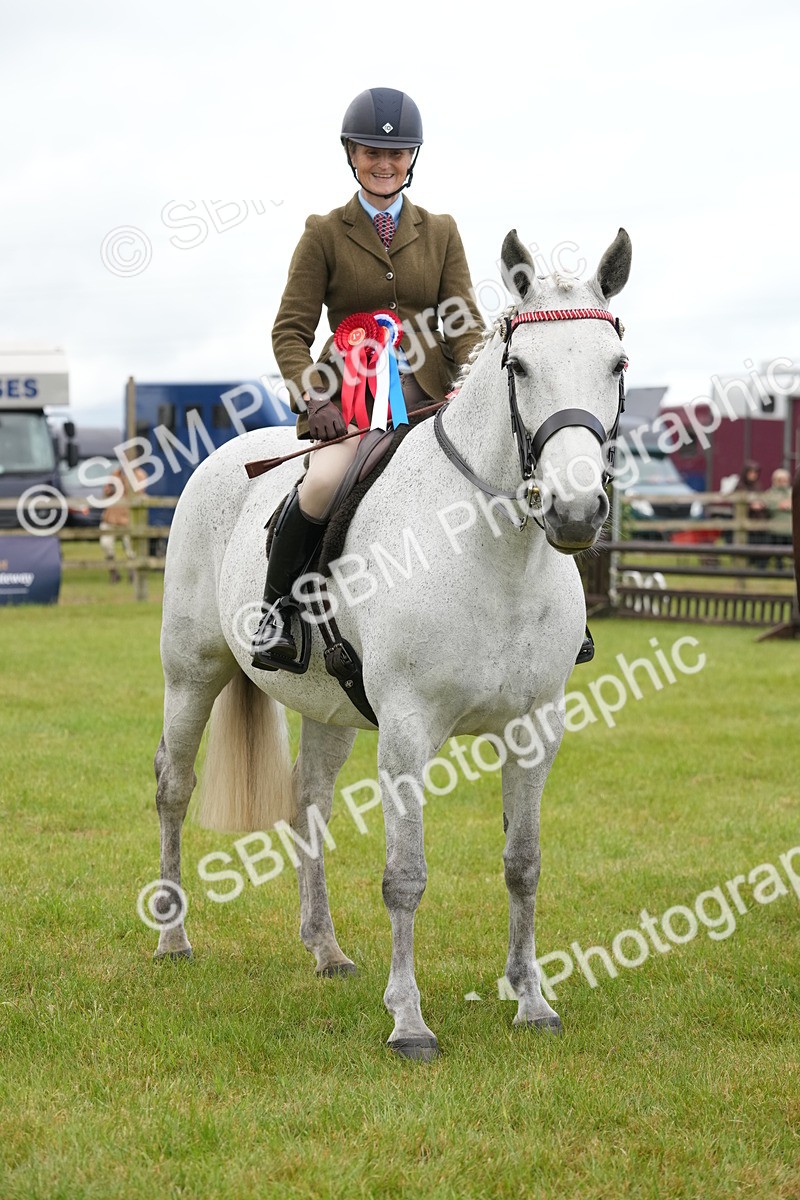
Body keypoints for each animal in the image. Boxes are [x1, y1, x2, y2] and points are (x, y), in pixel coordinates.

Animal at [151, 227, 632, 1060]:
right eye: (519, 366)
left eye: (616, 365)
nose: (574, 510)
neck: (495, 550)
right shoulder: (407, 731)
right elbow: (405, 875)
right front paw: (408, 1021)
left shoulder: (534, 729)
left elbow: (523, 863)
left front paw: (530, 999)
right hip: (192, 676)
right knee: (173, 788)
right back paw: (174, 937)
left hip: (330, 710)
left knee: (306, 804)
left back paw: (326, 950)